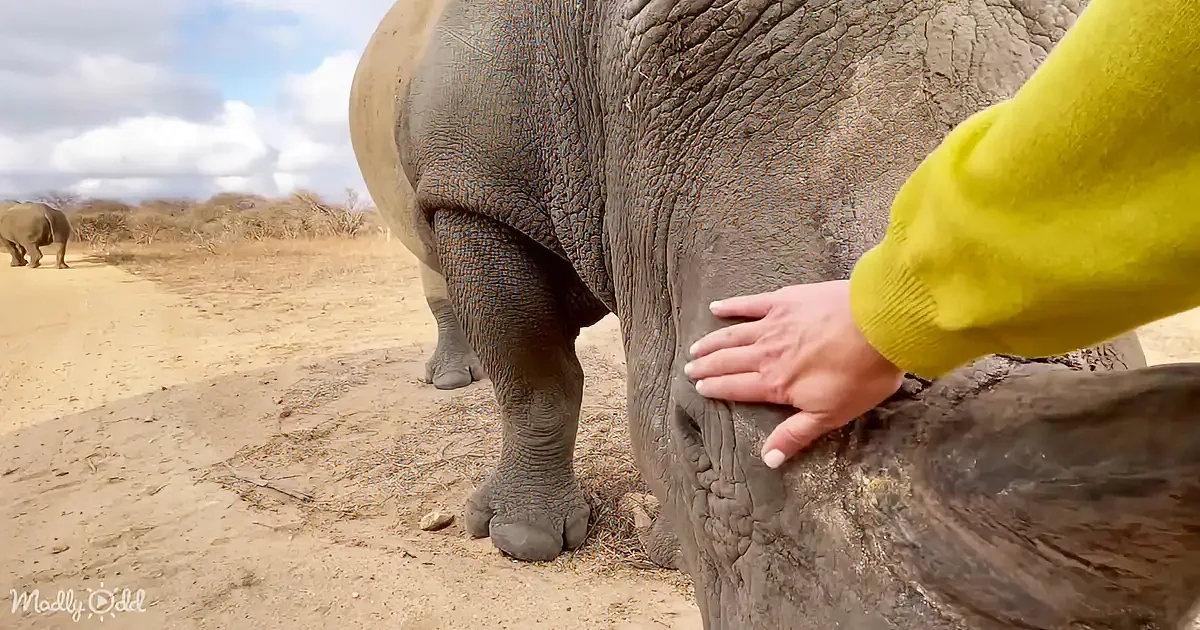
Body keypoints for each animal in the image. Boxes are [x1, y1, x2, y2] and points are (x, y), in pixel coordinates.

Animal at [349, 1, 1200, 628]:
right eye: (697, 427)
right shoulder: (475, 185)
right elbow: (536, 380)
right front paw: (523, 541)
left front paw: (668, 546)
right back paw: (451, 383)